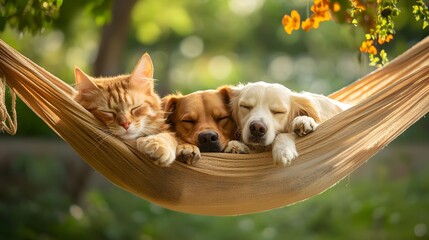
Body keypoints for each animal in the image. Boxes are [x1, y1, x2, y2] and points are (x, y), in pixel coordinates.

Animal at [224, 81, 352, 166]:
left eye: (278, 111)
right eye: (245, 106)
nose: (257, 128)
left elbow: (285, 133)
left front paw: (283, 150)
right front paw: (237, 146)